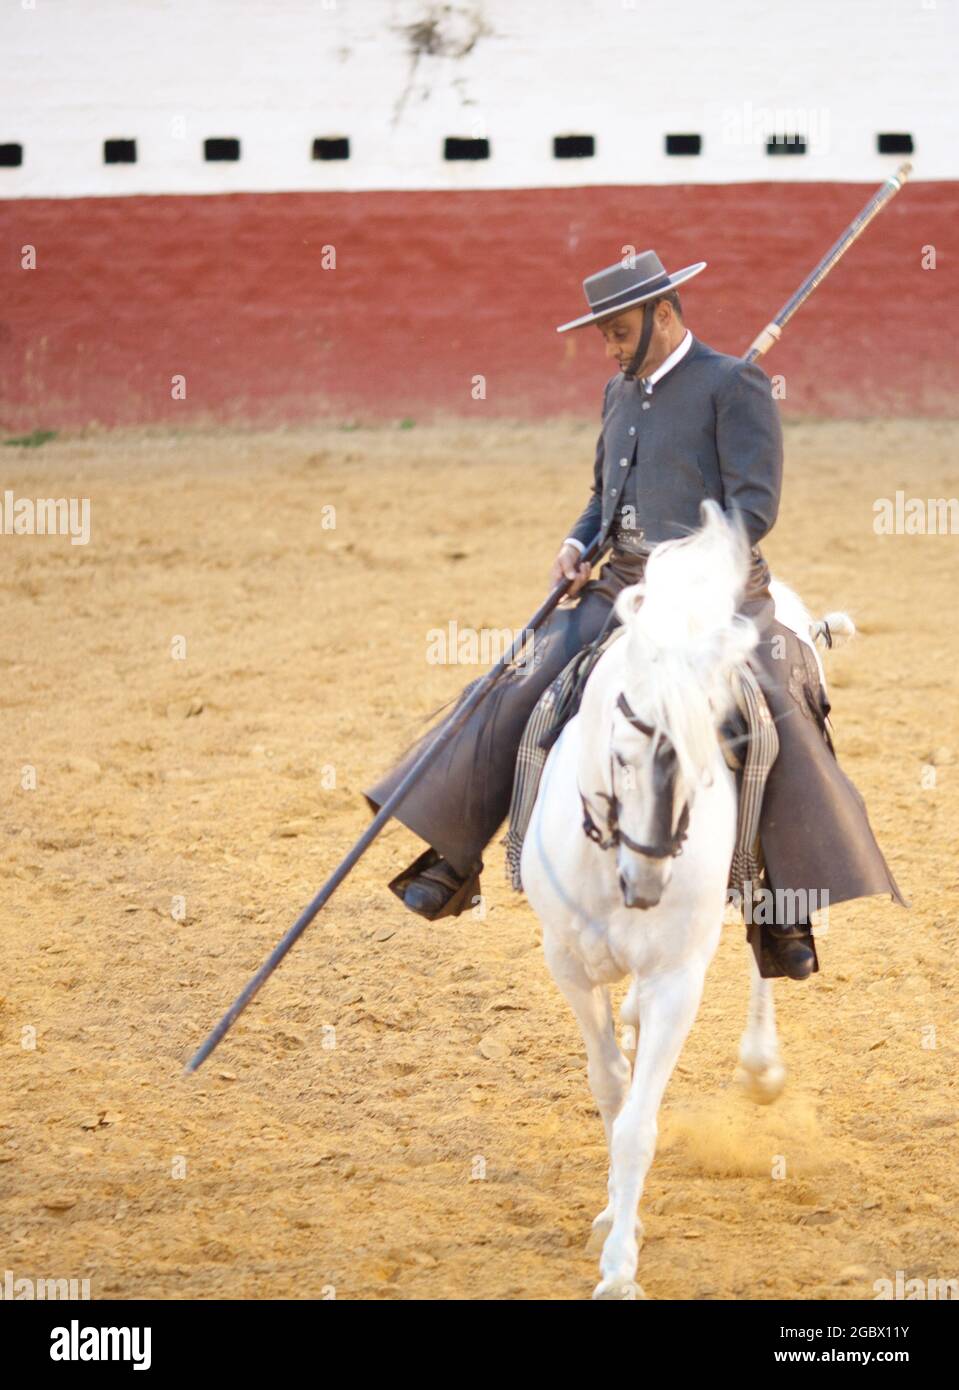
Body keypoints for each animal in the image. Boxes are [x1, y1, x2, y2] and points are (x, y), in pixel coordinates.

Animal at [520, 501, 849, 1300]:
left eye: (710, 754)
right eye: (619, 756)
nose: (645, 886)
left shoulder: (678, 978)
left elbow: (638, 1124)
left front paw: (619, 1265)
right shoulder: (566, 965)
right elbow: (611, 1089)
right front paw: (615, 1219)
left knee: (764, 955)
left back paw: (759, 1066)